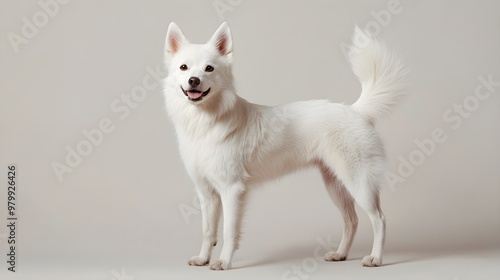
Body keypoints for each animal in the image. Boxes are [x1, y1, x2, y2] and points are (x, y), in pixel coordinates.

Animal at [162, 20, 408, 270]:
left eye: (209, 69)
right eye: (184, 67)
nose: (194, 80)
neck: (206, 120)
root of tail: (355, 110)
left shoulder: (232, 190)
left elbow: (229, 232)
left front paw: (223, 261)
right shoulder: (207, 194)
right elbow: (208, 231)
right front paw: (203, 258)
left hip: (359, 183)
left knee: (379, 219)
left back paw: (376, 258)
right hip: (336, 185)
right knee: (352, 220)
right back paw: (340, 254)